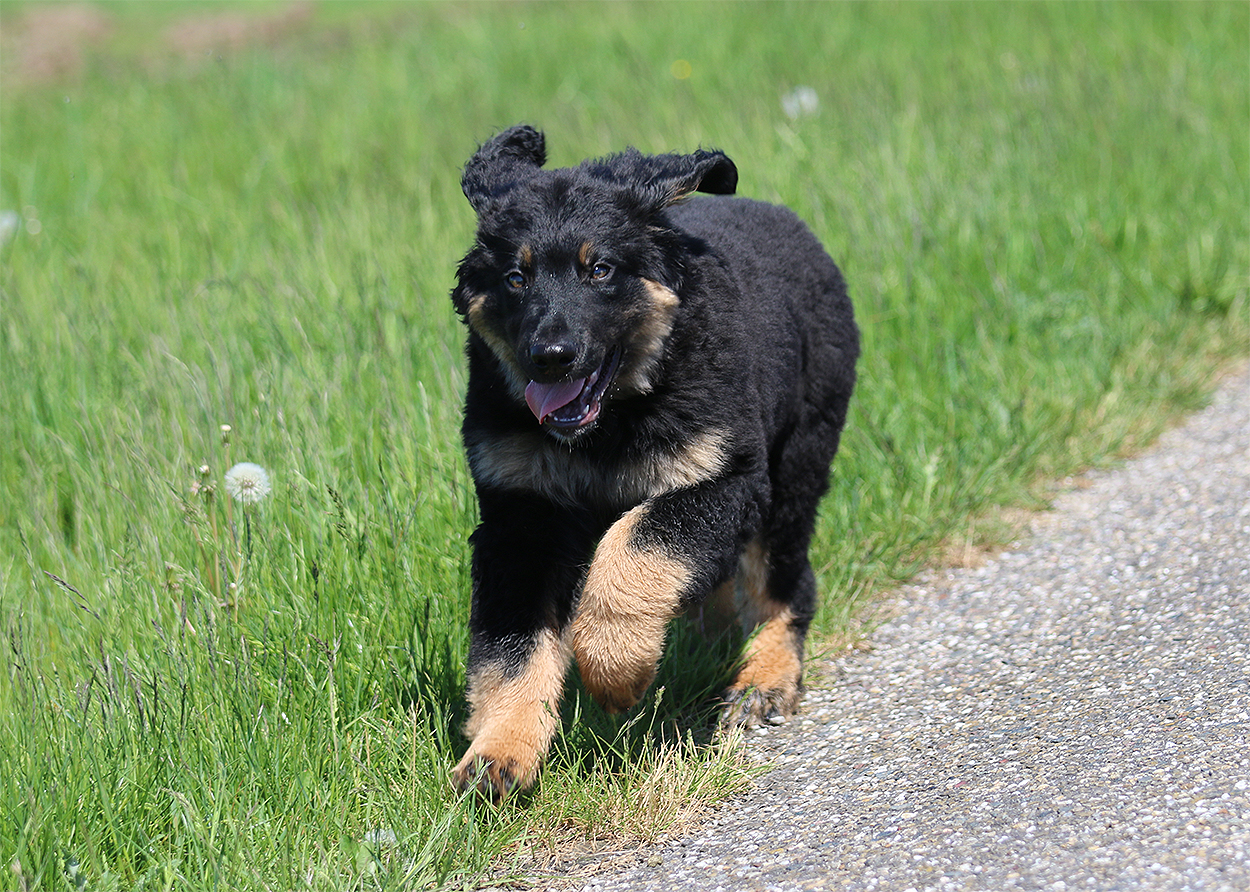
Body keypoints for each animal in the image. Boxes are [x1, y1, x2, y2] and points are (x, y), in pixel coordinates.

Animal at [449, 125, 858, 799]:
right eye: (515, 277)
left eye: (600, 270)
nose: (549, 356)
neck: (611, 423)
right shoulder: (519, 517)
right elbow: (510, 647)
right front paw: (498, 753)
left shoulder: (725, 478)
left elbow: (635, 550)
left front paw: (616, 670)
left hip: (795, 467)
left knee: (786, 584)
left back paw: (763, 678)